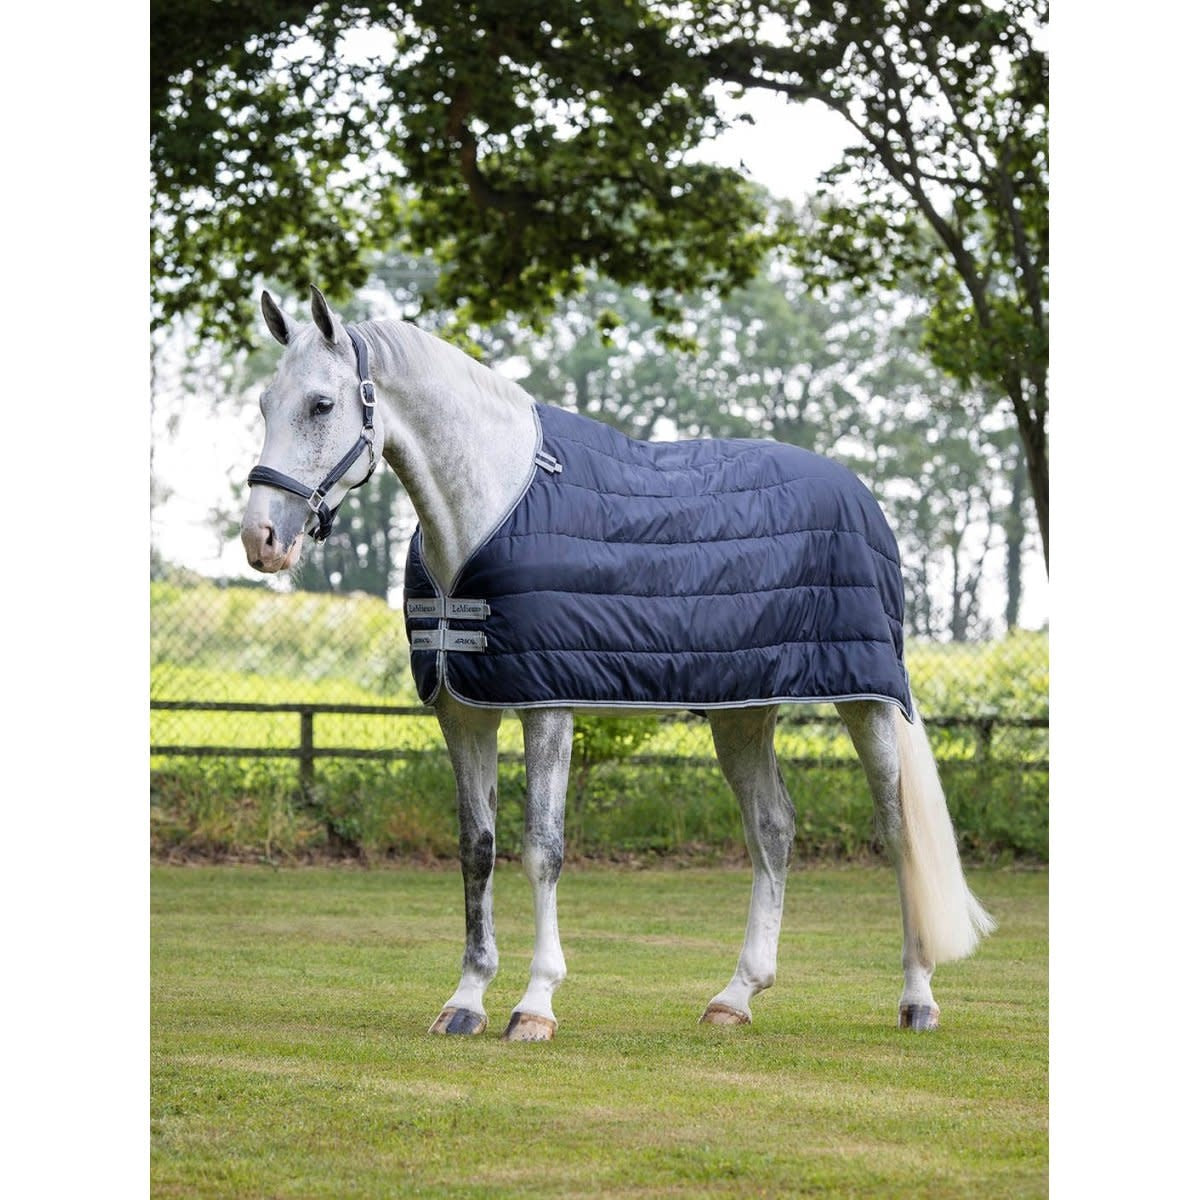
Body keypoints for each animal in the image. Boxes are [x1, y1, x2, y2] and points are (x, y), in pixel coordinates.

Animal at [240, 286, 994, 1041]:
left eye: (322, 404)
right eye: (264, 403)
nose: (261, 539)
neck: (493, 502)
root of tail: (860, 493)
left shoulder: (546, 704)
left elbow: (542, 849)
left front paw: (535, 1004)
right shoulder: (463, 711)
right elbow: (476, 847)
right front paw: (466, 1000)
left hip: (866, 699)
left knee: (898, 833)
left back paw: (917, 996)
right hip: (743, 708)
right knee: (773, 828)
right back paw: (736, 996)